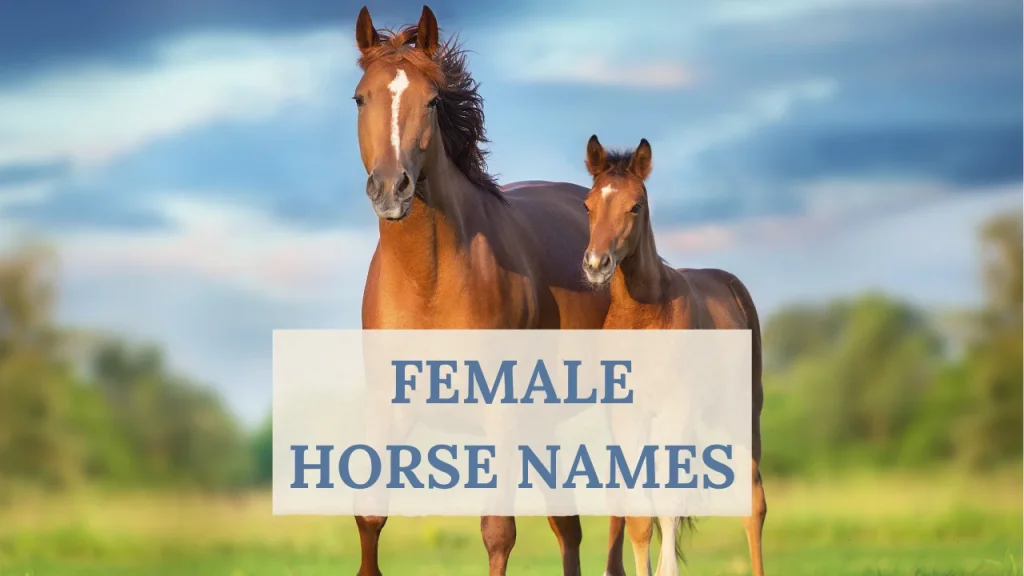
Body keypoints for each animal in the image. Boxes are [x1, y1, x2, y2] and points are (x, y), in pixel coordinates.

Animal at [351, 5, 624, 575]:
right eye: (361, 97)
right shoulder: (387, 406)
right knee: (568, 524)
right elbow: (370, 516)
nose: (391, 189)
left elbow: (498, 532)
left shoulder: (501, 413)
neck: (429, 283)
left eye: (432, 101)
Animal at [578, 135, 768, 576]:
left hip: (744, 413)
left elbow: (667, 504)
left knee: (753, 504)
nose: (596, 265)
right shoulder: (627, 416)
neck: (643, 317)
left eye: (635, 206)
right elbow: (639, 515)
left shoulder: (675, 409)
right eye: (588, 205)